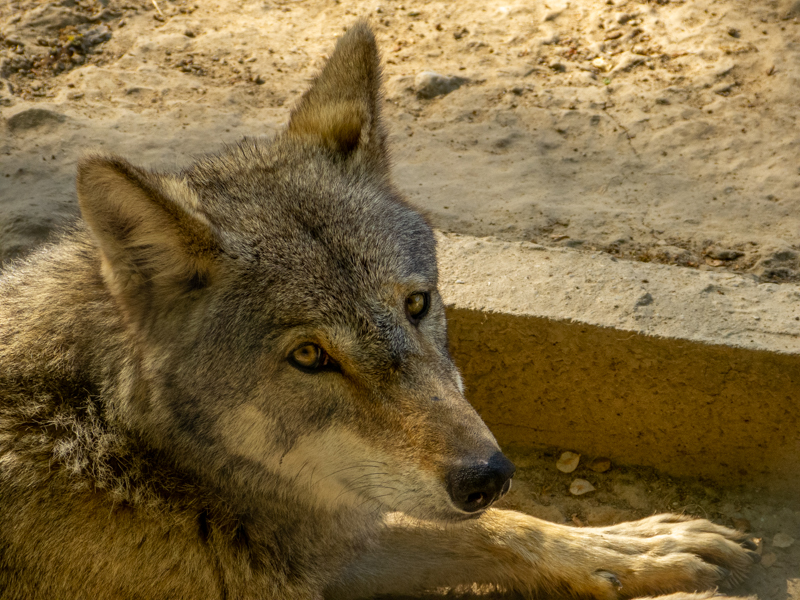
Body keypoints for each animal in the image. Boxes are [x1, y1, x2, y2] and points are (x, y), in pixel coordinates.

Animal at [0, 21, 757, 600]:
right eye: (310, 356)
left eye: (417, 305)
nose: (487, 476)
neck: (122, 453)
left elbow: (501, 529)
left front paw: (629, 548)